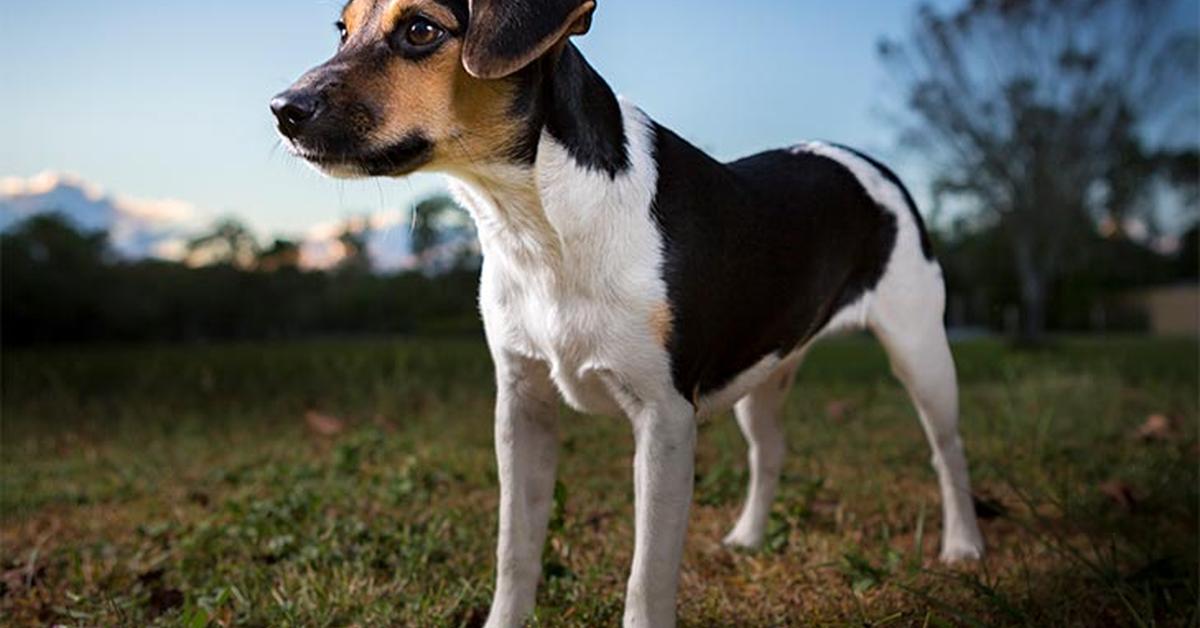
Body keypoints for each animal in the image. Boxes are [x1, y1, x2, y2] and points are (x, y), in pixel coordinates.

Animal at [272, 2, 984, 624]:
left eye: (421, 29)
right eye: (342, 29)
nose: (283, 109)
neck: (540, 220)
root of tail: (865, 160)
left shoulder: (665, 419)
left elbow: (648, 576)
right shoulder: (522, 405)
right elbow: (514, 549)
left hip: (921, 352)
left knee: (948, 452)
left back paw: (964, 546)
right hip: (766, 369)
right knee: (771, 451)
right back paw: (750, 536)